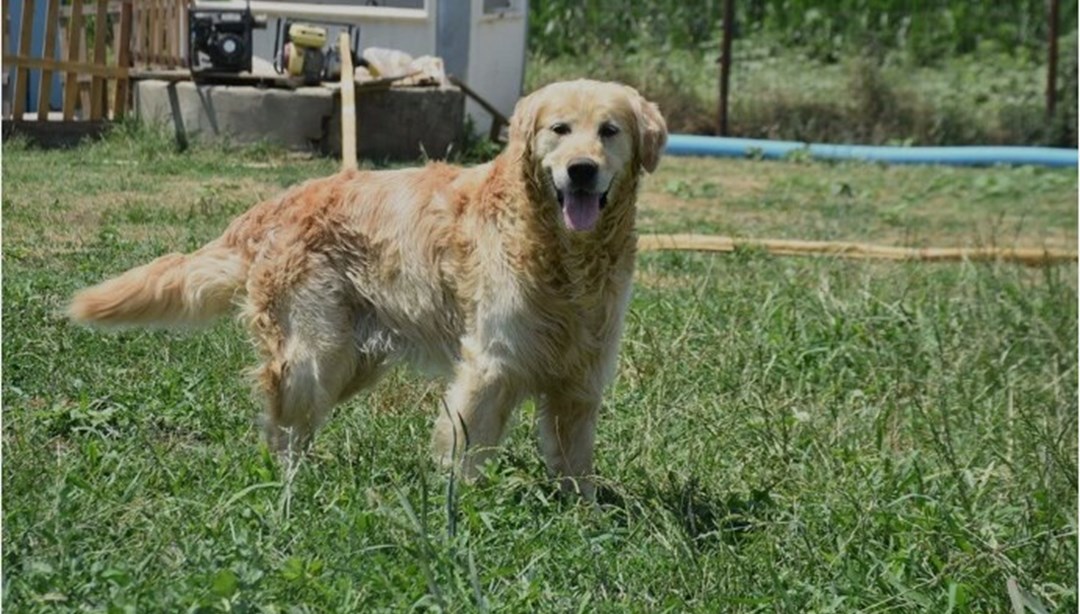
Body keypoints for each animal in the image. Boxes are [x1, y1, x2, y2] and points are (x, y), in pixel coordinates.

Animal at [67, 77, 665, 498]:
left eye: (609, 131)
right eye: (559, 129)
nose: (581, 170)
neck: (565, 254)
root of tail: (275, 203)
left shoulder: (581, 377)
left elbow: (575, 462)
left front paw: (583, 514)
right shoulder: (492, 364)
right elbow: (465, 450)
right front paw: (461, 509)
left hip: (354, 359)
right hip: (316, 351)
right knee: (283, 424)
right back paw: (290, 484)